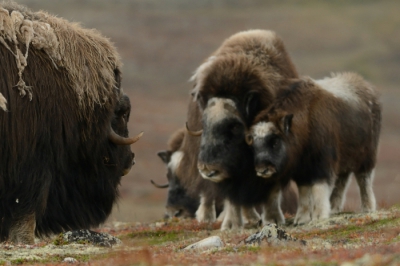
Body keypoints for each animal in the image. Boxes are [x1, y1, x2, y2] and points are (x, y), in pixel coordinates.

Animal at [188, 28, 300, 229]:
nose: (208, 169)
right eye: (203, 123)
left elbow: (272, 191)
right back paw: (208, 217)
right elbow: (232, 195)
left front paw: (273, 220)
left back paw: (252, 218)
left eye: (234, 126)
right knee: (209, 194)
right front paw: (231, 225)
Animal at [250, 72, 382, 224]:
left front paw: (319, 216)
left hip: (366, 156)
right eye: (253, 142)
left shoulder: (322, 163)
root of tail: (366, 87)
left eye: (275, 142)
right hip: (344, 159)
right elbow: (304, 192)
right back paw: (334, 208)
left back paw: (368, 208)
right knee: (342, 181)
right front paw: (301, 218)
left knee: (364, 179)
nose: (262, 169)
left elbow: (319, 188)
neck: (305, 123)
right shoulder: (302, 170)